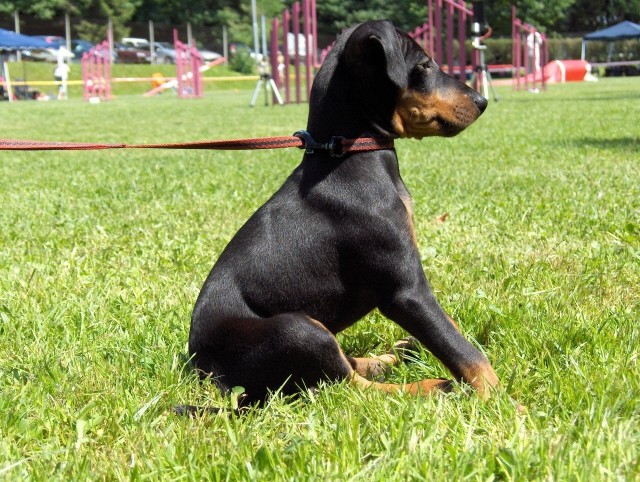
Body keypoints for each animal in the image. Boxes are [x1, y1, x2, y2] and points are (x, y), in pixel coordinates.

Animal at [188, 20, 498, 404]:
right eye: (424, 65)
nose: (483, 101)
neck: (346, 155)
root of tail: (204, 370)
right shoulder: (405, 290)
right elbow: (461, 350)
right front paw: (502, 400)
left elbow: (451, 331)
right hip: (298, 329)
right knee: (346, 386)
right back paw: (430, 386)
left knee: (346, 368)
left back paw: (394, 356)